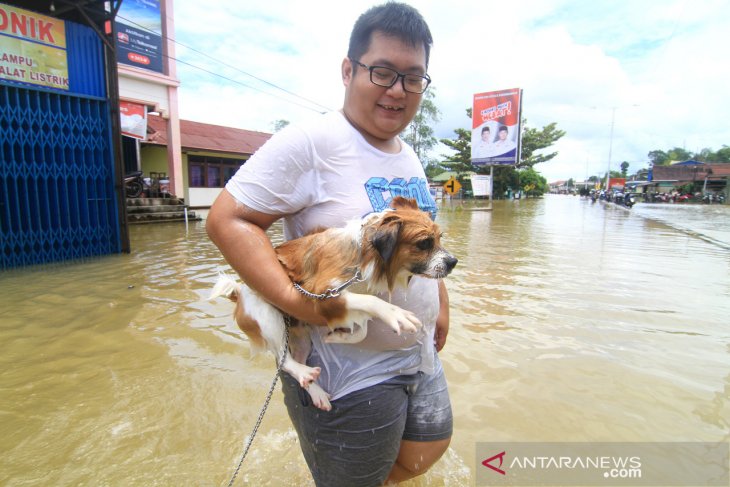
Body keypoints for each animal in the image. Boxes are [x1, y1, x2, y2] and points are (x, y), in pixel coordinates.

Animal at [208, 196, 456, 410]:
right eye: (424, 243)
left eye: (440, 237)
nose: (453, 262)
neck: (362, 255)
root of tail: (238, 292)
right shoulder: (321, 294)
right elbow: (371, 301)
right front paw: (395, 314)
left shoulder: (348, 305)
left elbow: (362, 330)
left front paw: (337, 336)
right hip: (268, 317)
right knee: (282, 360)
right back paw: (304, 373)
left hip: (302, 339)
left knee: (294, 361)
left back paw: (315, 390)